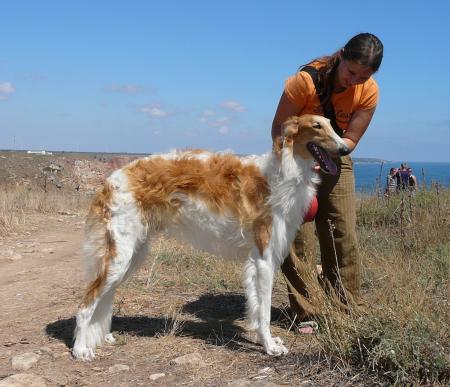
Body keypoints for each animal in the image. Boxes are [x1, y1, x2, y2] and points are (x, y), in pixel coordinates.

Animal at [72, 115, 350, 360]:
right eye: (316, 126)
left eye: (332, 125)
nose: (346, 148)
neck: (285, 173)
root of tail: (111, 180)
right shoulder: (264, 259)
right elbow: (265, 312)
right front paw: (270, 347)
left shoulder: (257, 261)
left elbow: (256, 308)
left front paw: (264, 340)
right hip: (121, 255)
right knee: (86, 304)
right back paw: (80, 349)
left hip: (133, 254)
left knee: (104, 298)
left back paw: (104, 337)